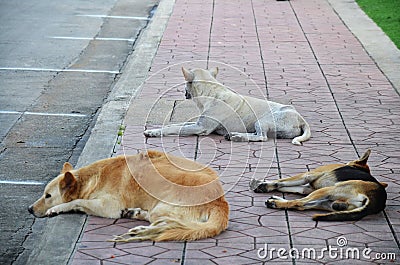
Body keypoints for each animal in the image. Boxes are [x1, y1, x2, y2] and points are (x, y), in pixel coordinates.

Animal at [28, 150, 228, 240]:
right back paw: (136, 215)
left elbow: (77, 201)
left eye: (48, 196)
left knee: (167, 225)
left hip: (162, 207)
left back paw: (140, 230)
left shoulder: (109, 207)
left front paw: (56, 209)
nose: (29, 209)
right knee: (163, 223)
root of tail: (220, 202)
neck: (91, 178)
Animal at [145, 66, 310, 144]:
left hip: (264, 120)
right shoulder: (198, 122)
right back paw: (234, 135)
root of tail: (301, 119)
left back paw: (238, 137)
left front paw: (155, 132)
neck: (211, 94)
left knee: (262, 137)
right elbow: (178, 124)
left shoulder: (201, 127)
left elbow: (175, 128)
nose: (183, 92)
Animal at [250, 148, 388, 221]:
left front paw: (263, 184)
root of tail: (378, 200)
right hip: (327, 202)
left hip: (328, 190)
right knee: (302, 205)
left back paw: (275, 202)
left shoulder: (309, 175)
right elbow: (289, 186)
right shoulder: (308, 188)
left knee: (299, 203)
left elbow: (281, 181)